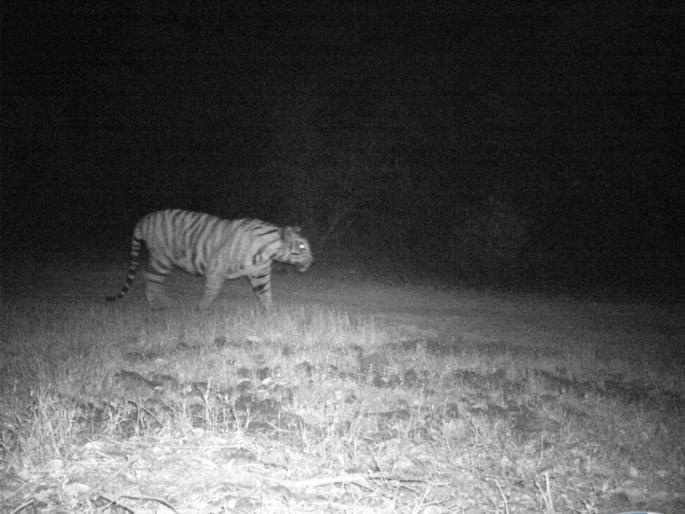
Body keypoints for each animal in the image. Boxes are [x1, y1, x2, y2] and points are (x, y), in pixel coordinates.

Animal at [106, 209, 313, 311]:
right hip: (162, 258)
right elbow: (211, 291)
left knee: (153, 280)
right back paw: (158, 306)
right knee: (149, 279)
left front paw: (270, 312)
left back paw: (169, 303)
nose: (312, 262)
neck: (267, 251)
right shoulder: (216, 269)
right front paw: (202, 310)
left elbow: (265, 293)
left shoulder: (259, 274)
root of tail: (144, 219)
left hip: (164, 261)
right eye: (302, 247)